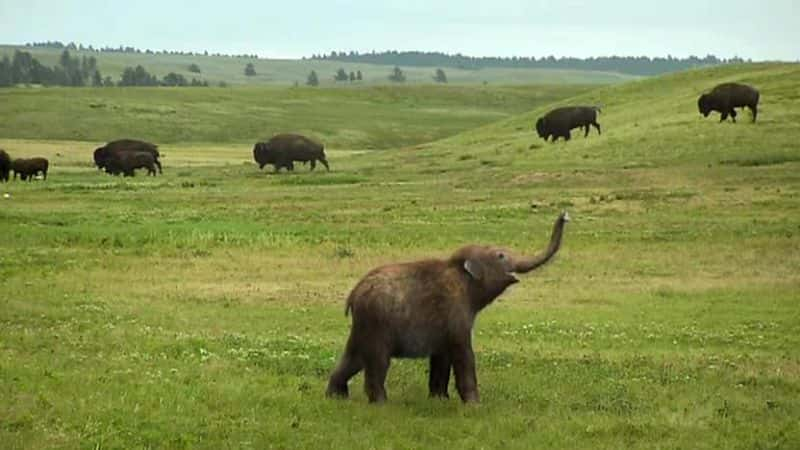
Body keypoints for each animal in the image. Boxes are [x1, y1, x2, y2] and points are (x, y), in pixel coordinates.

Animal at [326, 212, 568, 404]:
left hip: (364, 325)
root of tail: (353, 295)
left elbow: (442, 359)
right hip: (377, 323)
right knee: (377, 363)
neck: (461, 272)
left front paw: (439, 400)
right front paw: (474, 405)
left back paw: (336, 397)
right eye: (500, 256)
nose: (565, 215)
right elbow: (463, 353)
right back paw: (380, 403)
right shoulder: (456, 311)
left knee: (353, 359)